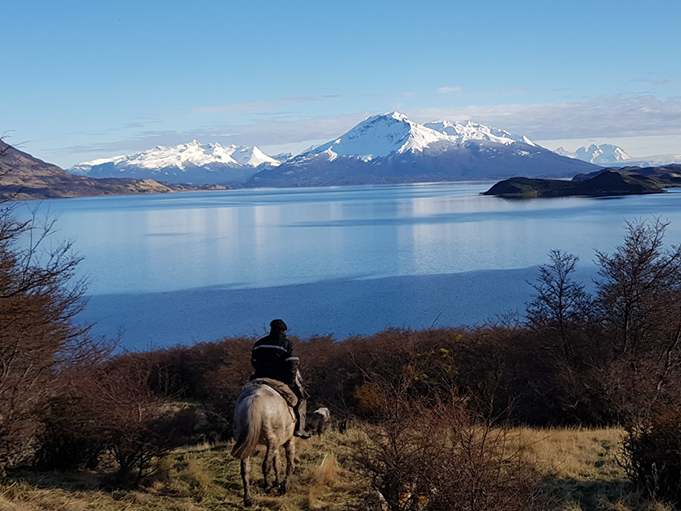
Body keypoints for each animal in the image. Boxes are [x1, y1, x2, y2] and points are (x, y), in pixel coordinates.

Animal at [231, 380, 294, 508]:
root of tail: (254, 398)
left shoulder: (276, 445)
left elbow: (277, 463)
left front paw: (278, 482)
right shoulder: (287, 440)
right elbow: (286, 462)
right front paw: (283, 485)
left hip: (247, 447)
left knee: (245, 470)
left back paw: (247, 499)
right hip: (271, 441)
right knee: (266, 464)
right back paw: (268, 487)